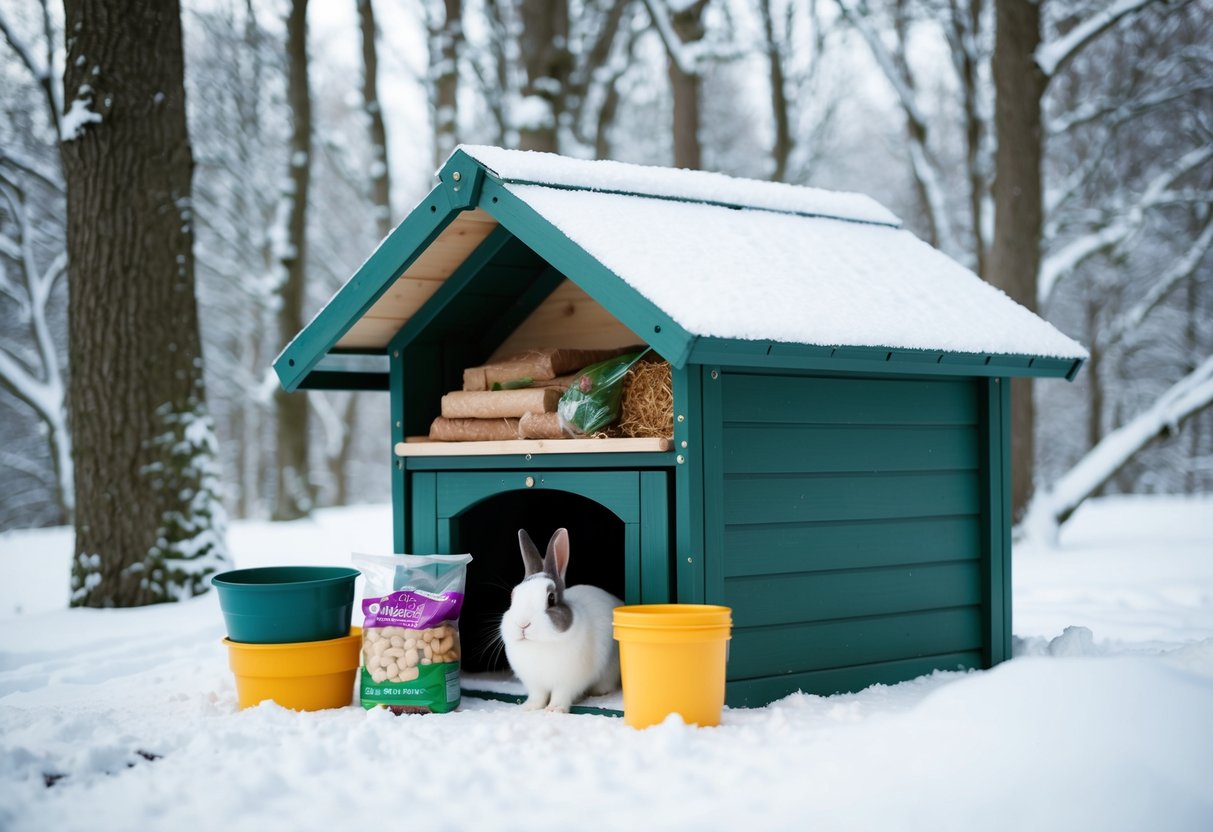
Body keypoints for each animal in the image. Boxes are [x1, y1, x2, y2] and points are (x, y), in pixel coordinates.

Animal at [497, 531, 621, 713]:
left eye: (551, 598)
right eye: (513, 596)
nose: (522, 624)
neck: (540, 643)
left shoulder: (567, 682)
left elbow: (561, 695)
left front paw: (554, 710)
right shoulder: (535, 684)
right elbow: (538, 697)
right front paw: (529, 708)